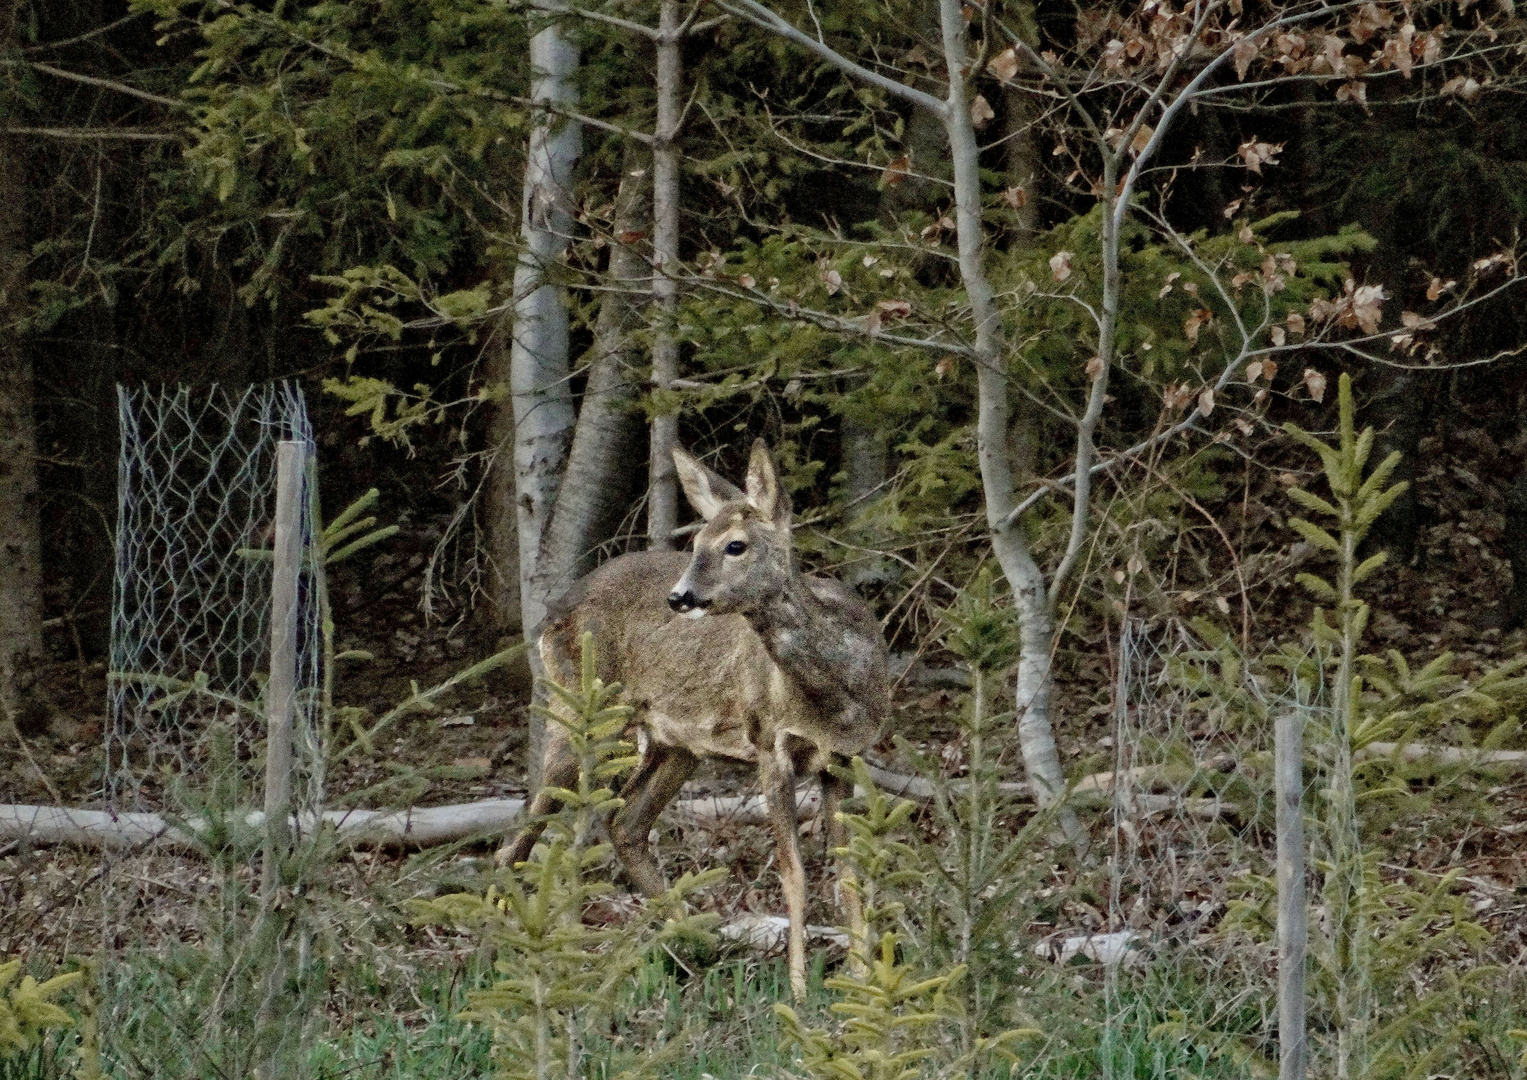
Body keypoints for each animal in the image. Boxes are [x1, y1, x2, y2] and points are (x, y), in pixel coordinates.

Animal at [494, 439, 891, 995]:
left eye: (736, 545)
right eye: (698, 540)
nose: (679, 597)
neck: (837, 693)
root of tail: (552, 615)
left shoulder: (845, 759)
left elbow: (849, 868)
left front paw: (862, 977)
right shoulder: (769, 742)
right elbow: (794, 871)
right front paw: (799, 988)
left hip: (676, 742)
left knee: (623, 823)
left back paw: (695, 940)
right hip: (580, 714)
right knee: (518, 841)